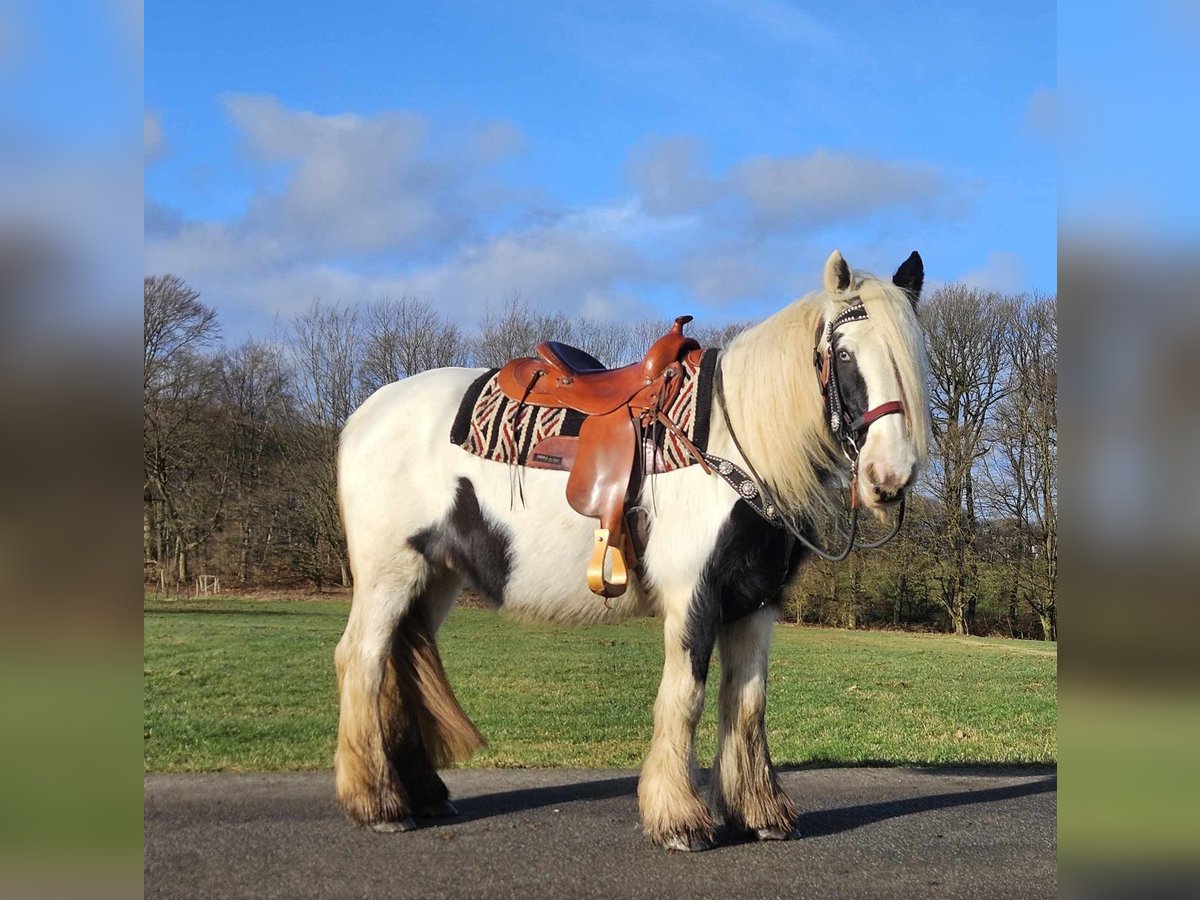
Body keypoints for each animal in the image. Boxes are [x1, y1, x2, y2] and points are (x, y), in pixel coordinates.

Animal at [333, 250, 931, 849]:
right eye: (845, 353)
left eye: (913, 357)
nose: (889, 475)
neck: (732, 448)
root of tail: (365, 413)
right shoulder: (694, 596)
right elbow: (684, 697)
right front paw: (678, 820)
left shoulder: (757, 603)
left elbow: (747, 703)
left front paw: (760, 814)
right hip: (390, 571)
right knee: (362, 660)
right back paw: (377, 804)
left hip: (435, 576)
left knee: (398, 666)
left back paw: (424, 795)